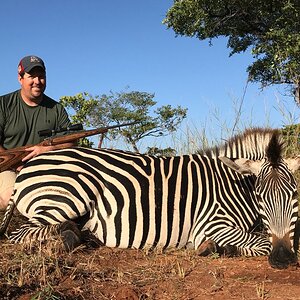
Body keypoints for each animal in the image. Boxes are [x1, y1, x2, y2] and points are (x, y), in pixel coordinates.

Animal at [0, 127, 298, 268]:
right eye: (260, 197)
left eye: (294, 195)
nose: (283, 258)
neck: (234, 185)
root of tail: (28, 165)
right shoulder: (210, 224)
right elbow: (260, 242)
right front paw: (216, 248)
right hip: (71, 194)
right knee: (20, 234)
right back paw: (69, 236)